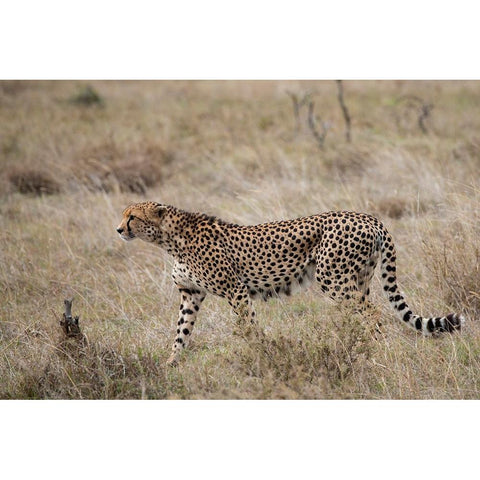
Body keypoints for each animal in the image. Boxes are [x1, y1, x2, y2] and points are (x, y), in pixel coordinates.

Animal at [116, 201, 464, 366]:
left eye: (132, 217)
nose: (119, 230)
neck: (169, 239)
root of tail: (369, 217)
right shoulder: (191, 294)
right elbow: (181, 333)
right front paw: (170, 363)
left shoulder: (236, 291)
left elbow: (250, 328)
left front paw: (263, 355)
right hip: (358, 279)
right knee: (365, 312)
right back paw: (360, 347)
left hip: (332, 278)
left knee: (374, 313)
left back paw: (375, 350)